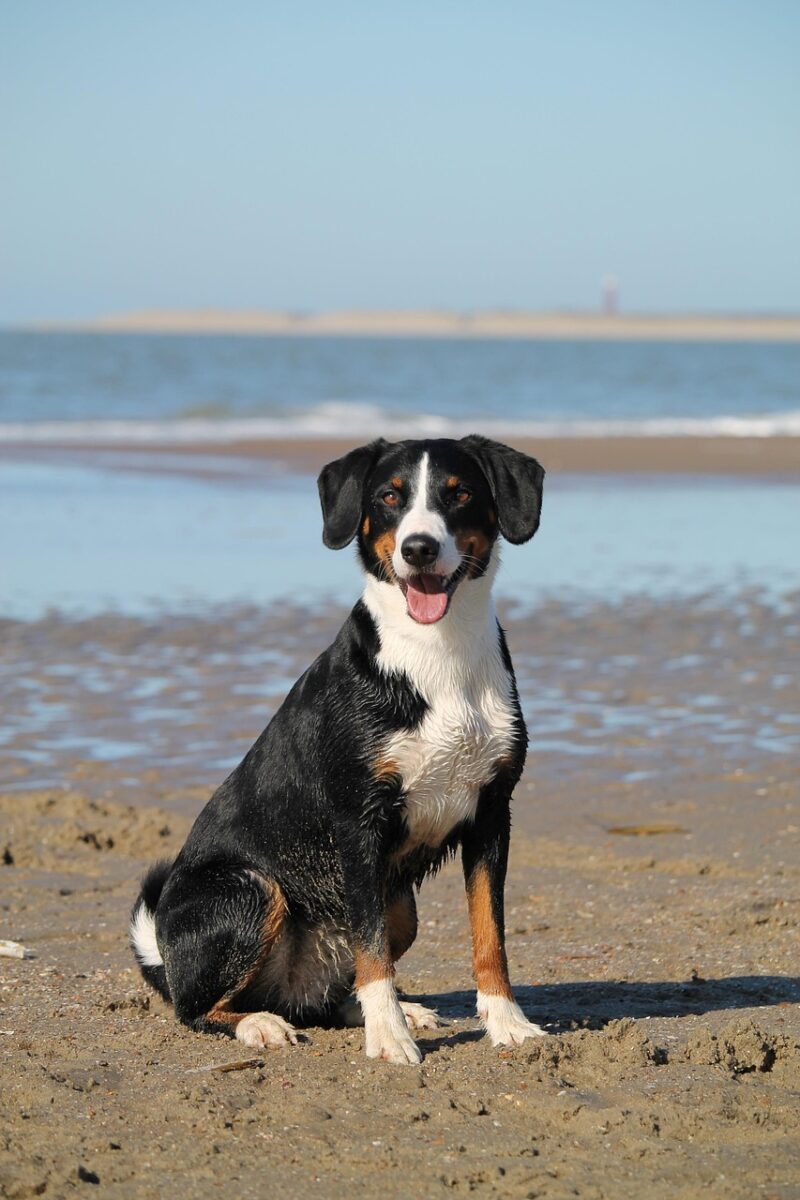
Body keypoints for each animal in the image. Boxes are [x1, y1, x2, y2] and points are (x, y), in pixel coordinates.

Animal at [130, 436, 544, 1065]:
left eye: (460, 494)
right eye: (389, 498)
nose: (419, 548)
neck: (437, 654)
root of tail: (166, 955)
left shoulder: (492, 814)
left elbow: (487, 936)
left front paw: (506, 1023)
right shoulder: (358, 824)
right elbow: (372, 953)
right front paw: (390, 1038)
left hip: (401, 908)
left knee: (329, 995)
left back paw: (393, 1010)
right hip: (251, 888)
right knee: (198, 1007)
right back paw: (263, 1024)